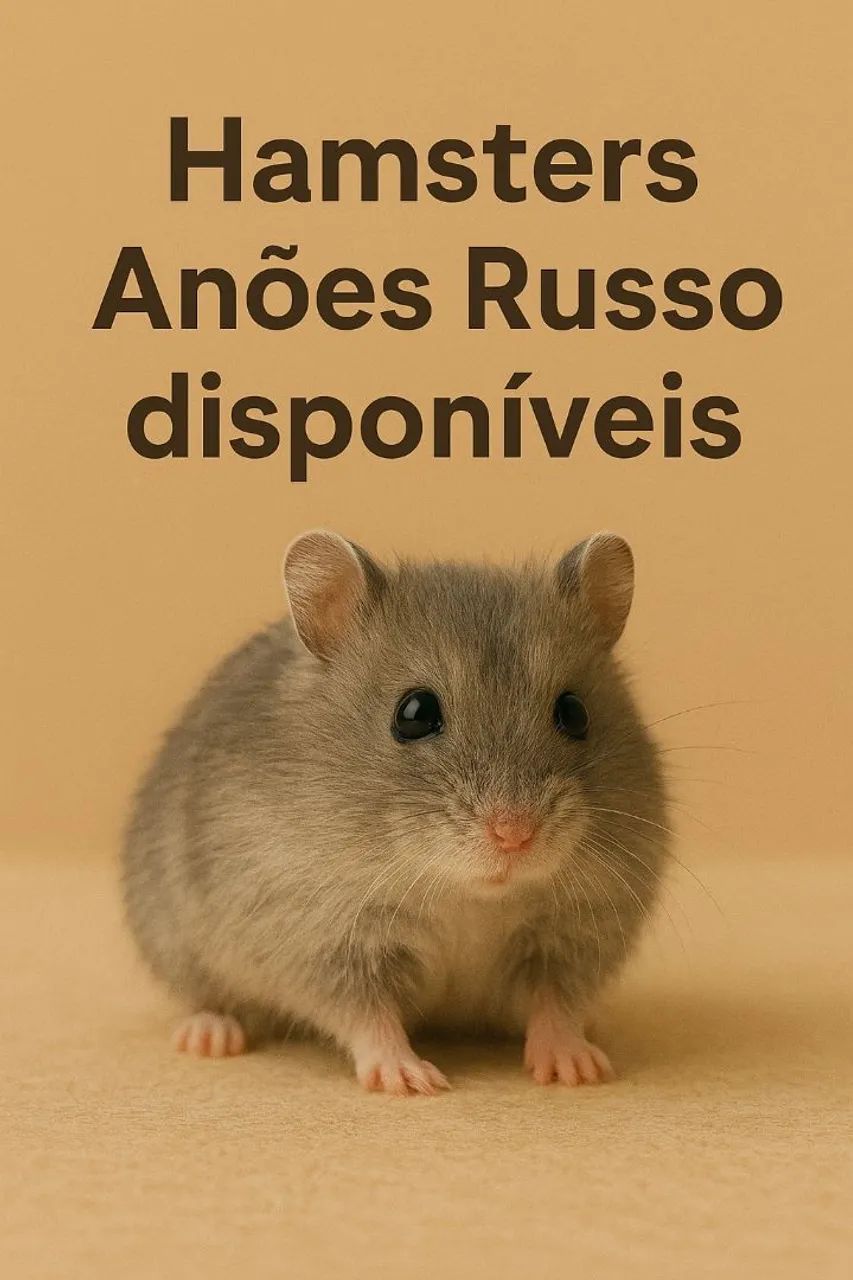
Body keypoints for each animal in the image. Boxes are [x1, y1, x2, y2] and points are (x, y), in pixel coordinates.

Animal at [122, 530, 668, 1094]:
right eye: (414, 713)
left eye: (574, 713)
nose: (515, 835)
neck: (467, 895)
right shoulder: (322, 937)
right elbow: (369, 1016)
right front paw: (410, 1081)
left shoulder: (575, 933)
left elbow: (554, 1004)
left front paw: (577, 1071)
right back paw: (210, 1036)